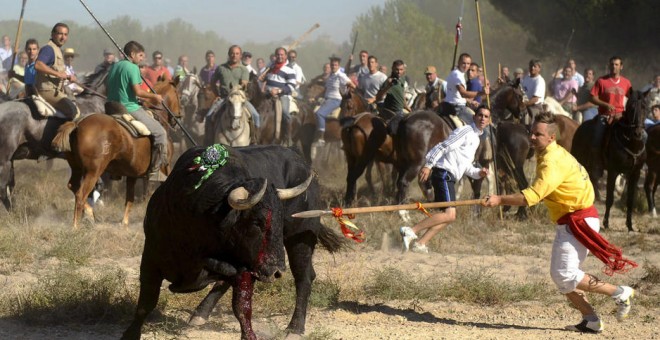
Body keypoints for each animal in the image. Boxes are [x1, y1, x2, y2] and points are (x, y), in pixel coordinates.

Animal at [51, 79, 180, 228]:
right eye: (177, 94)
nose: (179, 115)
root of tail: (78, 124)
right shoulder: (164, 169)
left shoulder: (132, 174)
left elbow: (129, 198)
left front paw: (124, 222)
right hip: (93, 171)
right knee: (81, 194)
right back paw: (76, 226)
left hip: (77, 168)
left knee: (73, 186)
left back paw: (89, 215)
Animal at [125, 145, 350, 338]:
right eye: (258, 222)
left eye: (280, 221)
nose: (276, 271)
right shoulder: (150, 258)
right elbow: (145, 303)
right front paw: (130, 333)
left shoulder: (245, 268)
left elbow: (241, 306)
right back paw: (200, 314)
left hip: (300, 241)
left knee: (304, 277)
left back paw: (294, 328)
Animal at [568, 90, 648, 231]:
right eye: (631, 107)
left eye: (644, 106)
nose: (638, 133)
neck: (631, 143)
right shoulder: (613, 171)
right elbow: (609, 199)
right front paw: (605, 223)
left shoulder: (635, 173)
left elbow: (630, 200)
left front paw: (630, 226)